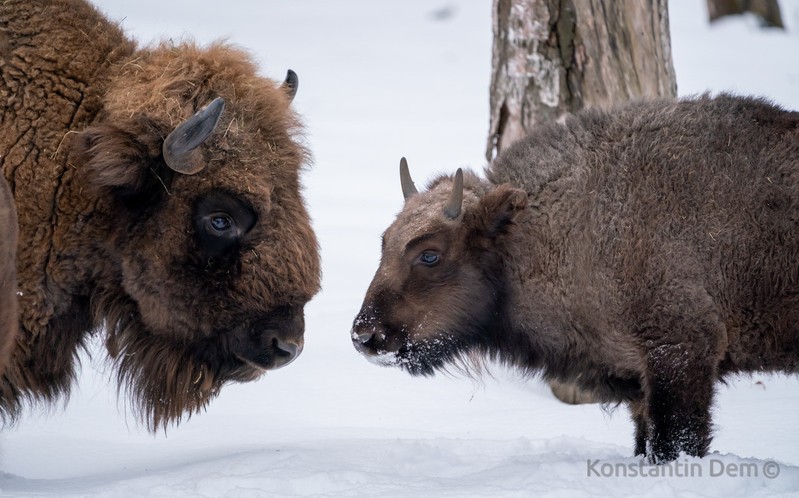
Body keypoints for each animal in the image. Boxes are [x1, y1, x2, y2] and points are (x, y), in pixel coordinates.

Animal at [354, 94, 799, 462]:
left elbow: (675, 442)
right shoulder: (639, 381)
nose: (364, 335)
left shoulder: (681, 353)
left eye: (429, 254)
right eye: (385, 242)